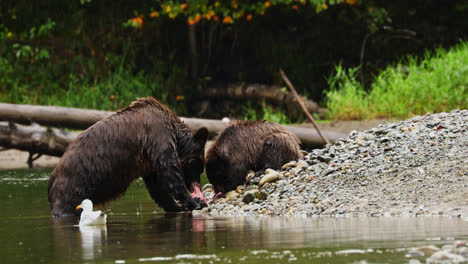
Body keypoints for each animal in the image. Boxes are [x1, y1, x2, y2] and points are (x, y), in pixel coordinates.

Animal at [48, 97, 207, 217]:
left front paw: (177, 205)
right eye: (199, 167)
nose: (197, 186)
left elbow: (157, 186)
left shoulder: (148, 160)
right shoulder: (158, 137)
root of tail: (53, 175)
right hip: (74, 184)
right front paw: (195, 202)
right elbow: (170, 173)